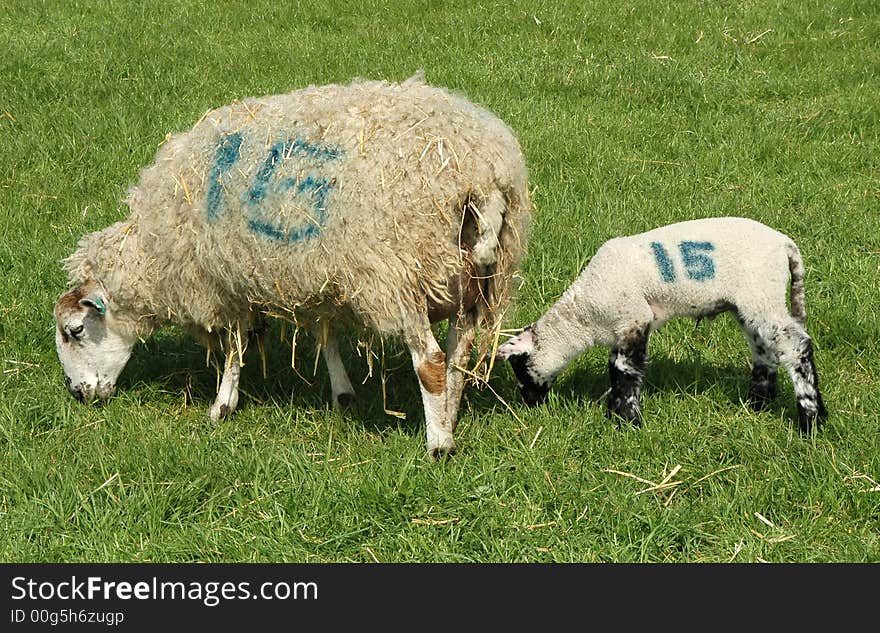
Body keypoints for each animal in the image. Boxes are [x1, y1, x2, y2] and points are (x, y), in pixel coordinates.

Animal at [56, 74, 536, 456]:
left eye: (75, 331)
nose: (78, 394)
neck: (155, 250)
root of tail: (482, 174)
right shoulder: (313, 274)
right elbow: (325, 335)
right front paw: (342, 392)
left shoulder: (224, 280)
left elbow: (234, 347)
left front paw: (222, 406)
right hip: (473, 283)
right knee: (458, 356)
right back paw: (449, 418)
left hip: (399, 276)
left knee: (431, 362)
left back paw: (439, 445)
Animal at [498, 215, 828, 432]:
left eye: (519, 367)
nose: (528, 402)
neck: (584, 314)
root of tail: (785, 245)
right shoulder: (622, 327)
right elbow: (615, 367)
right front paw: (615, 413)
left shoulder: (633, 317)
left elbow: (624, 370)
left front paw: (627, 421)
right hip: (751, 304)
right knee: (765, 351)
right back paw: (758, 404)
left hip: (760, 293)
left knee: (796, 347)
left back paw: (811, 420)